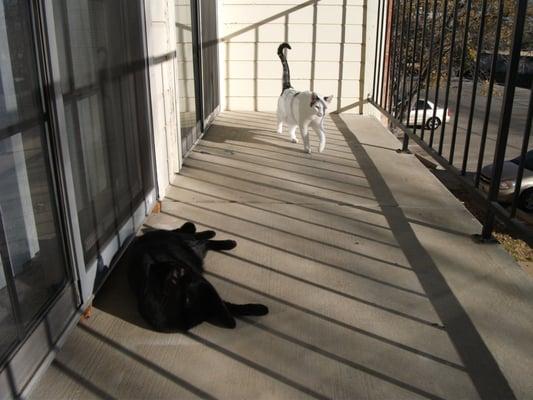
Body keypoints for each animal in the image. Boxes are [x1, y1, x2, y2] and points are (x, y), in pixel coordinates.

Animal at [128, 222, 268, 332]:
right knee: (199, 239)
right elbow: (227, 307)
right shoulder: (208, 293)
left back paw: (215, 236)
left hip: (182, 241)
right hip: (194, 252)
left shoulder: (206, 288)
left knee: (188, 231)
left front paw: (257, 309)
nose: (184, 268)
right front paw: (254, 311)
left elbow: (226, 306)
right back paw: (220, 239)